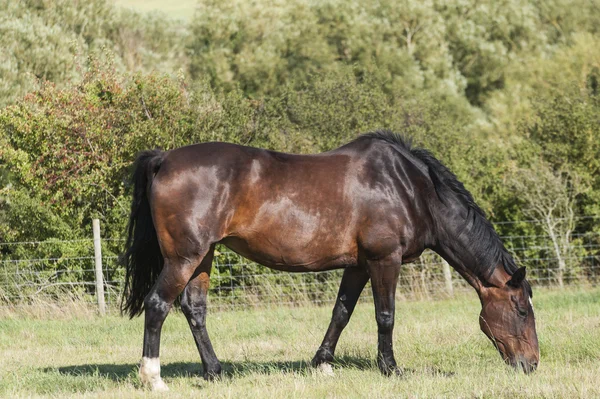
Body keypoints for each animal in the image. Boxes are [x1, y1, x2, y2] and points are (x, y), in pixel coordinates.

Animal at [120, 131, 540, 390]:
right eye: (522, 310)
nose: (532, 365)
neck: (409, 187)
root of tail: (164, 158)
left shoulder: (357, 265)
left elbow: (342, 311)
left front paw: (322, 363)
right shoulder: (385, 259)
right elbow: (385, 316)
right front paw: (390, 368)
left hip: (203, 255)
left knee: (194, 309)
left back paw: (214, 372)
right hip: (184, 256)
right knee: (158, 305)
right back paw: (153, 377)